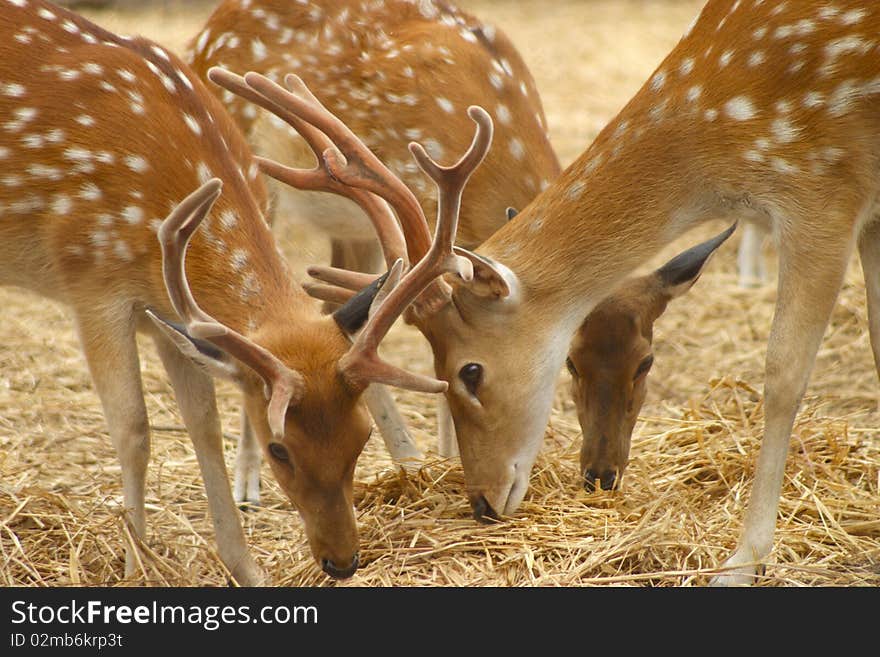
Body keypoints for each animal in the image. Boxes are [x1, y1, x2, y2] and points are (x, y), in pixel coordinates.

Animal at [0, 0, 478, 584]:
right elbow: (134, 430)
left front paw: (244, 567)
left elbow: (204, 426)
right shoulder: (92, 281)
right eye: (279, 449)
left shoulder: (168, 314)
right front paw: (137, 566)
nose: (343, 562)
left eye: (363, 435)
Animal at [184, 0, 564, 502]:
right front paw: (430, 459)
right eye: (472, 372)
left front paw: (442, 460)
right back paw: (250, 481)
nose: (486, 497)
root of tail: (201, 36)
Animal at [286, 0, 880, 584]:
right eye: (570, 363)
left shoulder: (825, 192)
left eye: (470, 371)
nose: (482, 502)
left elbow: (784, 376)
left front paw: (741, 563)